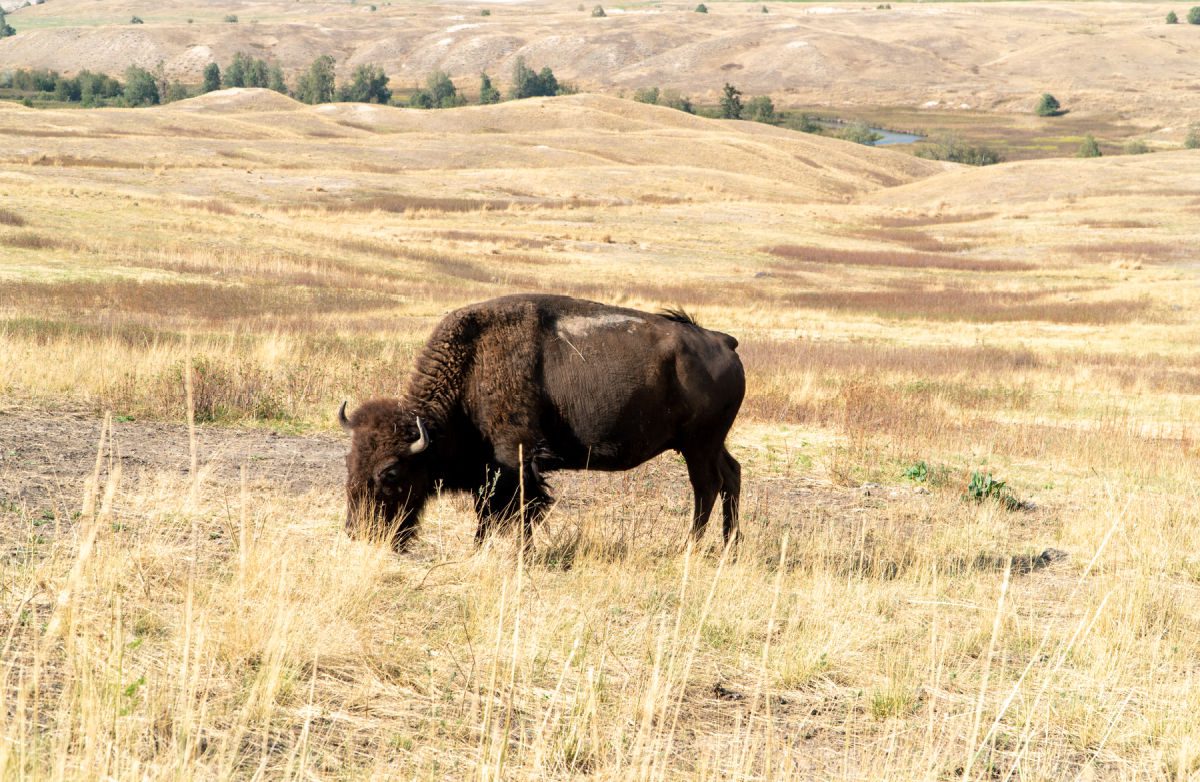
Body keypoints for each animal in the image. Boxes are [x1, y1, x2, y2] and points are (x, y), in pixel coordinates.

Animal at [338, 292, 744, 549]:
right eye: (350, 462)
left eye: (391, 472)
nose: (358, 532)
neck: (473, 364)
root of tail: (724, 341)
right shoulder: (491, 469)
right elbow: (488, 512)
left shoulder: (516, 458)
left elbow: (519, 509)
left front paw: (522, 554)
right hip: (711, 444)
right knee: (732, 476)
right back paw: (730, 546)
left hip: (698, 445)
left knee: (706, 487)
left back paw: (690, 547)